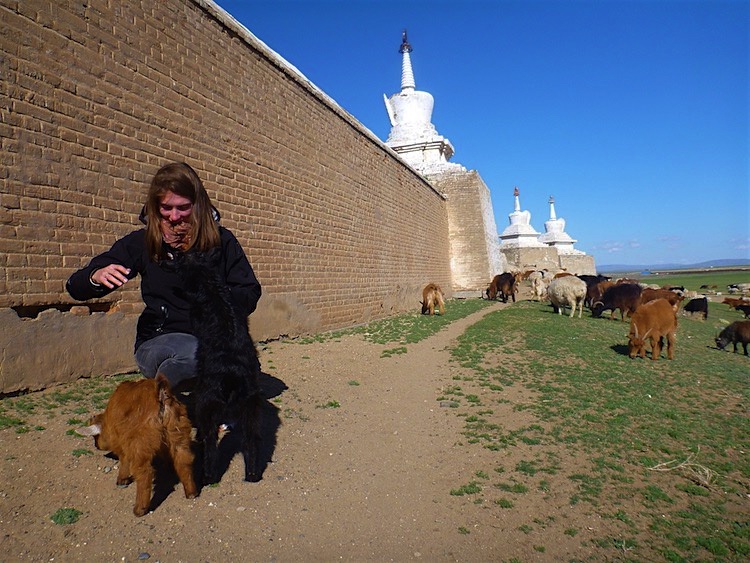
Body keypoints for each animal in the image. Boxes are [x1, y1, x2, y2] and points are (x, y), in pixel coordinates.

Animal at [77, 374, 197, 516]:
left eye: (95, 436)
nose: (96, 446)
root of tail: (161, 394)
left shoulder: (124, 445)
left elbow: (124, 461)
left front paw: (122, 480)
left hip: (140, 445)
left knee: (144, 473)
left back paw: (140, 509)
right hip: (178, 433)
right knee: (184, 461)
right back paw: (191, 492)